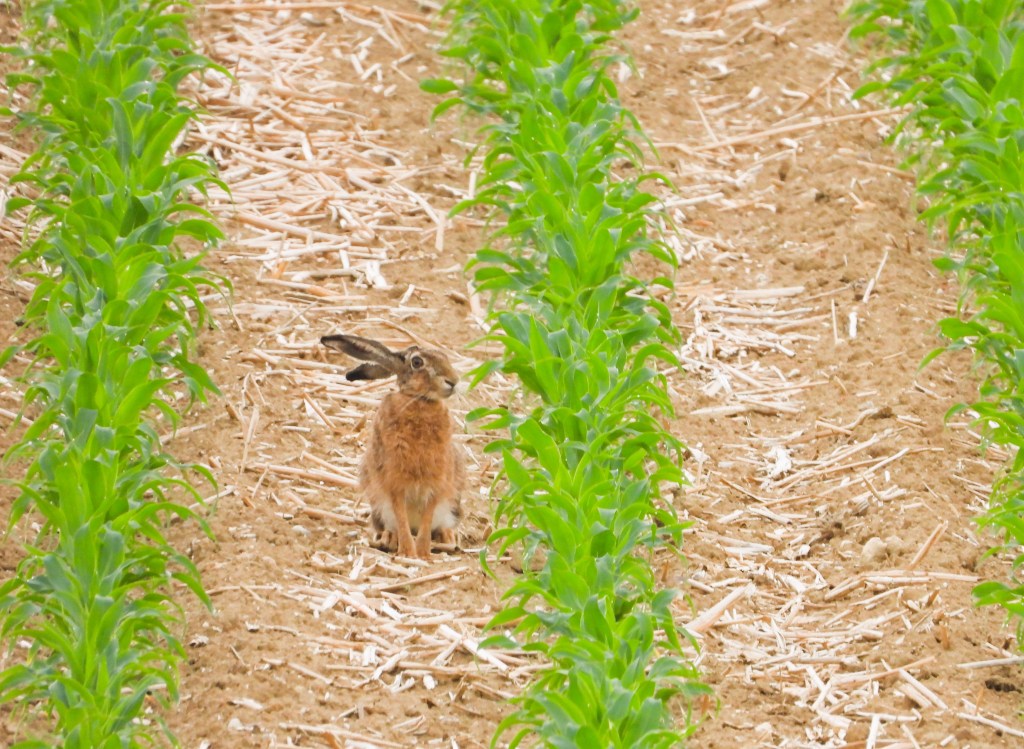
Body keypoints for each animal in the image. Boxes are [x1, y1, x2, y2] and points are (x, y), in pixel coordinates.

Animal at [321, 333, 465, 559]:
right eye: (417, 362)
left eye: (444, 357)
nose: (453, 381)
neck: (418, 400)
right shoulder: (394, 482)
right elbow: (401, 517)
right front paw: (408, 552)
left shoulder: (437, 482)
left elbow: (427, 517)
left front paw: (422, 553)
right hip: (379, 507)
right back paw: (389, 539)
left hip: (451, 505)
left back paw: (447, 538)